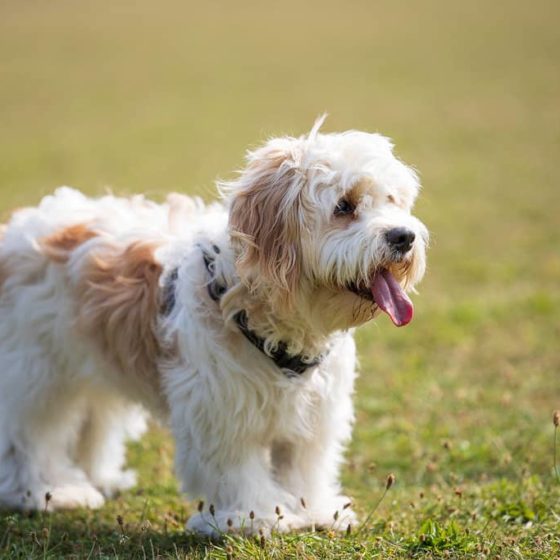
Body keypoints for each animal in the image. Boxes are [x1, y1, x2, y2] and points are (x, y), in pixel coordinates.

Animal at [0, 120, 426, 536]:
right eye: (344, 206)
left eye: (391, 200)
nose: (403, 236)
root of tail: (19, 227)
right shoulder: (219, 409)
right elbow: (236, 469)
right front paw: (255, 517)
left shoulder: (316, 414)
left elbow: (304, 466)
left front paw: (316, 510)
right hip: (36, 374)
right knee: (30, 435)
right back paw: (45, 491)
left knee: (96, 417)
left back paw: (100, 477)